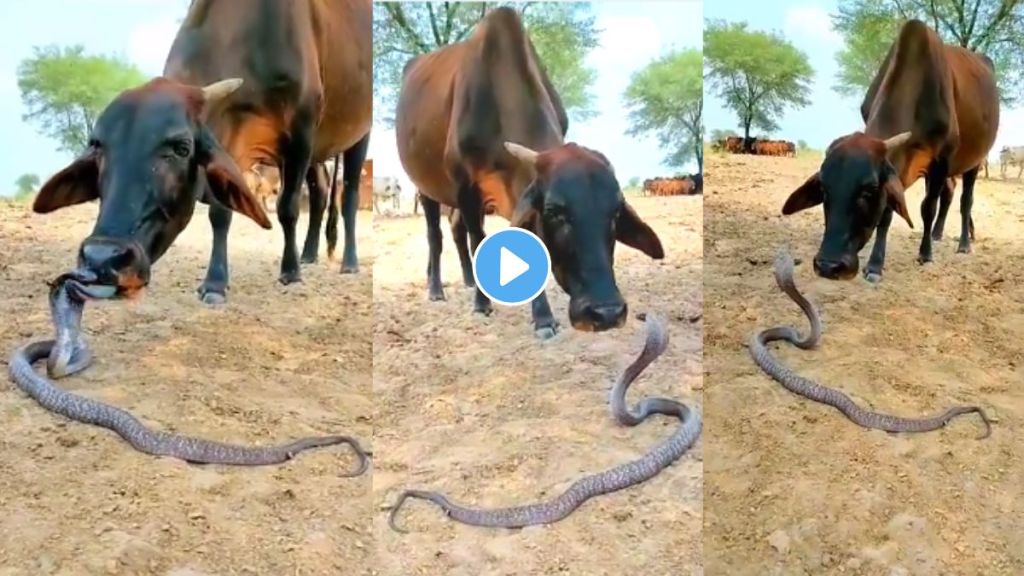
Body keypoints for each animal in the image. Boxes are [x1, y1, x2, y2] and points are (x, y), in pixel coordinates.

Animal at [162, 0, 372, 304]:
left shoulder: (300, 133)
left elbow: (288, 207)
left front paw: (291, 271)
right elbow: (220, 213)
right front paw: (214, 282)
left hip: (358, 133)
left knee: (349, 197)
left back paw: (349, 262)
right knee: (320, 192)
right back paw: (309, 253)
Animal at [395, 7, 663, 338]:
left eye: (614, 212)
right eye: (554, 212)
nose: (607, 312)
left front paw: (541, 316)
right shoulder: (465, 187)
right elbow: (478, 239)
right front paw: (486, 305)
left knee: (456, 230)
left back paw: (469, 280)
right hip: (426, 188)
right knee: (436, 235)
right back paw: (436, 289)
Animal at [781, 20, 998, 283]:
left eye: (870, 189)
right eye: (823, 188)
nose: (828, 266)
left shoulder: (942, 160)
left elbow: (928, 208)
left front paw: (925, 254)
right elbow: (887, 214)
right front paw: (875, 264)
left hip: (975, 162)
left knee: (965, 200)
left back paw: (964, 243)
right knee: (949, 194)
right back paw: (937, 233)